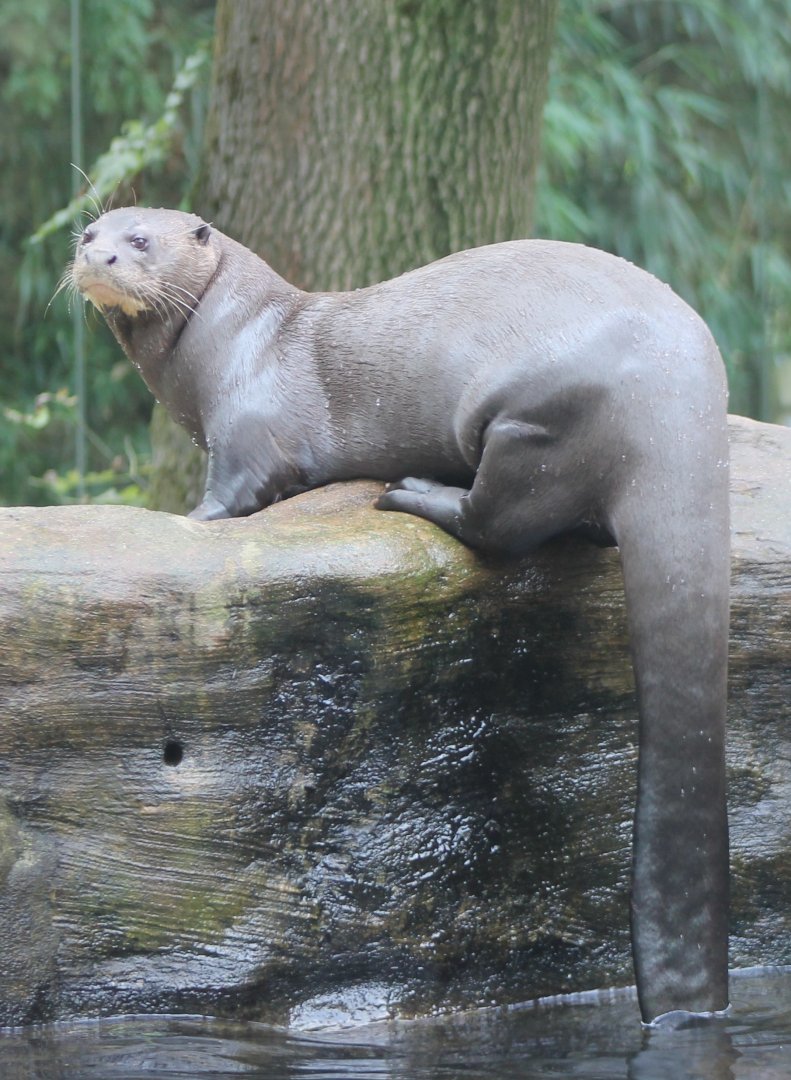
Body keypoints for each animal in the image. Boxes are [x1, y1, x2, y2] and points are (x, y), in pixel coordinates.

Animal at [70, 206, 730, 1026]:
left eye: (141, 241)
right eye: (87, 232)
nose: (97, 257)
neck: (236, 335)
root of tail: (678, 402)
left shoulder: (250, 433)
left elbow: (235, 495)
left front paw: (185, 520)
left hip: (535, 421)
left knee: (496, 524)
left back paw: (414, 492)